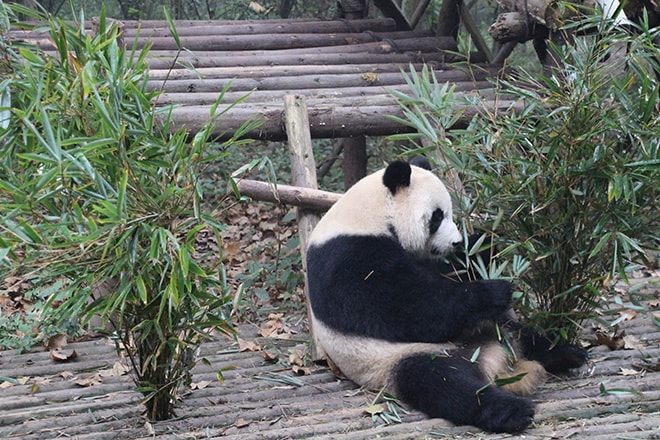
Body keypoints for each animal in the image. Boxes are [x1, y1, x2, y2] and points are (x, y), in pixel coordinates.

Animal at [306, 159, 588, 434]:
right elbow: (404, 307)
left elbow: (450, 273)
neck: (368, 216)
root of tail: (493, 360)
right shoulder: (347, 256)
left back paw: (567, 352)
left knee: (524, 335)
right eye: (437, 216)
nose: (456, 242)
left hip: (494, 328)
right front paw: (494, 290)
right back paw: (511, 412)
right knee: (445, 383)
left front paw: (486, 242)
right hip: (401, 358)